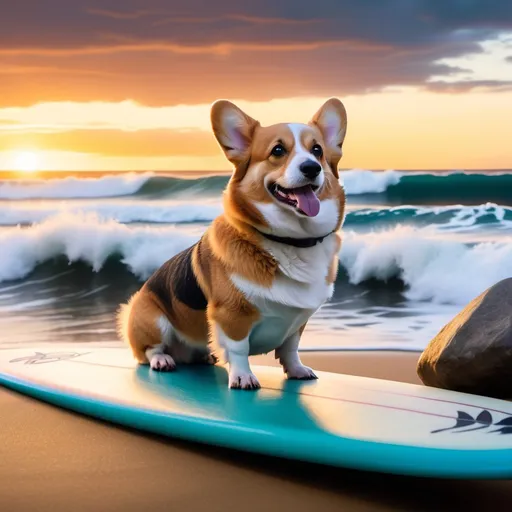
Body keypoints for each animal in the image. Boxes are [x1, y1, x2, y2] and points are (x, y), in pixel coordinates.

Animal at [117, 98, 348, 390]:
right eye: (278, 150)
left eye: (317, 150)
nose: (311, 168)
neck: (291, 241)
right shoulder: (231, 315)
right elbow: (238, 349)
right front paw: (242, 377)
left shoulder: (297, 323)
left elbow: (290, 348)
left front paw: (296, 370)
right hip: (151, 316)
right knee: (149, 350)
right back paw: (163, 360)